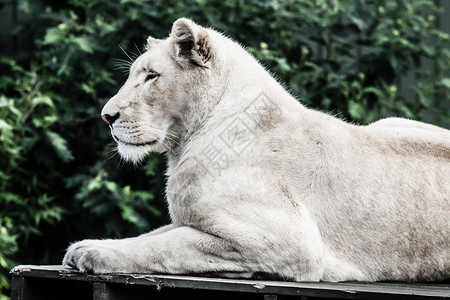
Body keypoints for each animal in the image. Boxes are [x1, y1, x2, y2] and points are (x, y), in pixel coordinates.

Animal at [64, 18, 450, 282]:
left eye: (151, 76)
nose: (106, 115)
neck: (188, 141)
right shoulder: (191, 219)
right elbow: (155, 235)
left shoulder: (292, 242)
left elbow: (166, 246)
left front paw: (91, 251)